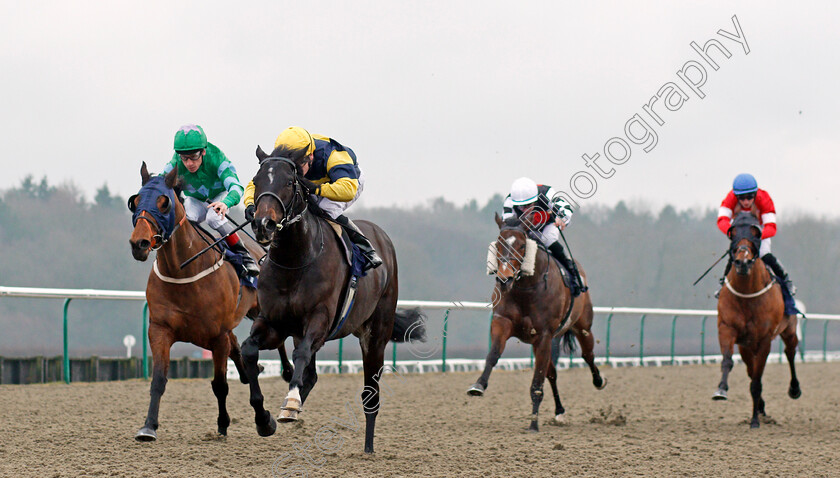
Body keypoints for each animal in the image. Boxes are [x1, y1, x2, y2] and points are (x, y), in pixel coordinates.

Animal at [127, 162, 292, 442]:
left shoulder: (217, 336)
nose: (139, 243)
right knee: (240, 351)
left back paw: (286, 372)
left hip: (260, 308)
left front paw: (225, 423)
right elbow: (158, 380)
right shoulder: (160, 330)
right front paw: (148, 427)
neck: (182, 272)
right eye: (135, 201)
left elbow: (220, 385)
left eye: (163, 203)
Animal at [243, 148, 426, 454]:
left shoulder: (320, 320)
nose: (262, 224)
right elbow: (248, 351)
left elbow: (301, 354)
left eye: (289, 182)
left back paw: (368, 448)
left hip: (375, 334)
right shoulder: (273, 323)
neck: (295, 261)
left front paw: (290, 403)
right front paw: (264, 419)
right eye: (256, 180)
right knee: (311, 374)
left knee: (370, 394)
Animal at [466, 213, 612, 434]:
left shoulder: (544, 335)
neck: (526, 289)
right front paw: (478, 385)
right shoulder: (502, 322)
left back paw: (599, 380)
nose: (505, 279)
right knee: (552, 374)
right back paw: (559, 411)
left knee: (588, 355)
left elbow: (537, 382)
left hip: (582, 327)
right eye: (499, 244)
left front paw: (533, 423)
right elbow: (493, 354)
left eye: (521, 245)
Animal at [716, 211, 800, 428]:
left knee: (790, 353)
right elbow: (728, 361)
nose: (742, 262)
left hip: (789, 330)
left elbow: (756, 381)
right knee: (750, 369)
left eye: (755, 232)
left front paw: (754, 421)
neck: (747, 294)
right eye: (734, 232)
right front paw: (721, 389)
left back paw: (794, 389)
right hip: (746, 345)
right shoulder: (728, 329)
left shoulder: (764, 340)